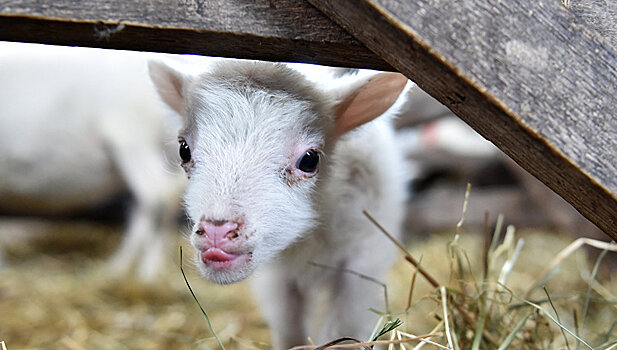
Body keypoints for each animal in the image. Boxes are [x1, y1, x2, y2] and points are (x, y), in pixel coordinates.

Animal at [149, 60, 410, 348]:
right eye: (184, 150)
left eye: (310, 159)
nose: (217, 232)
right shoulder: (277, 280)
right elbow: (289, 329)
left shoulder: (361, 264)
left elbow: (345, 327)